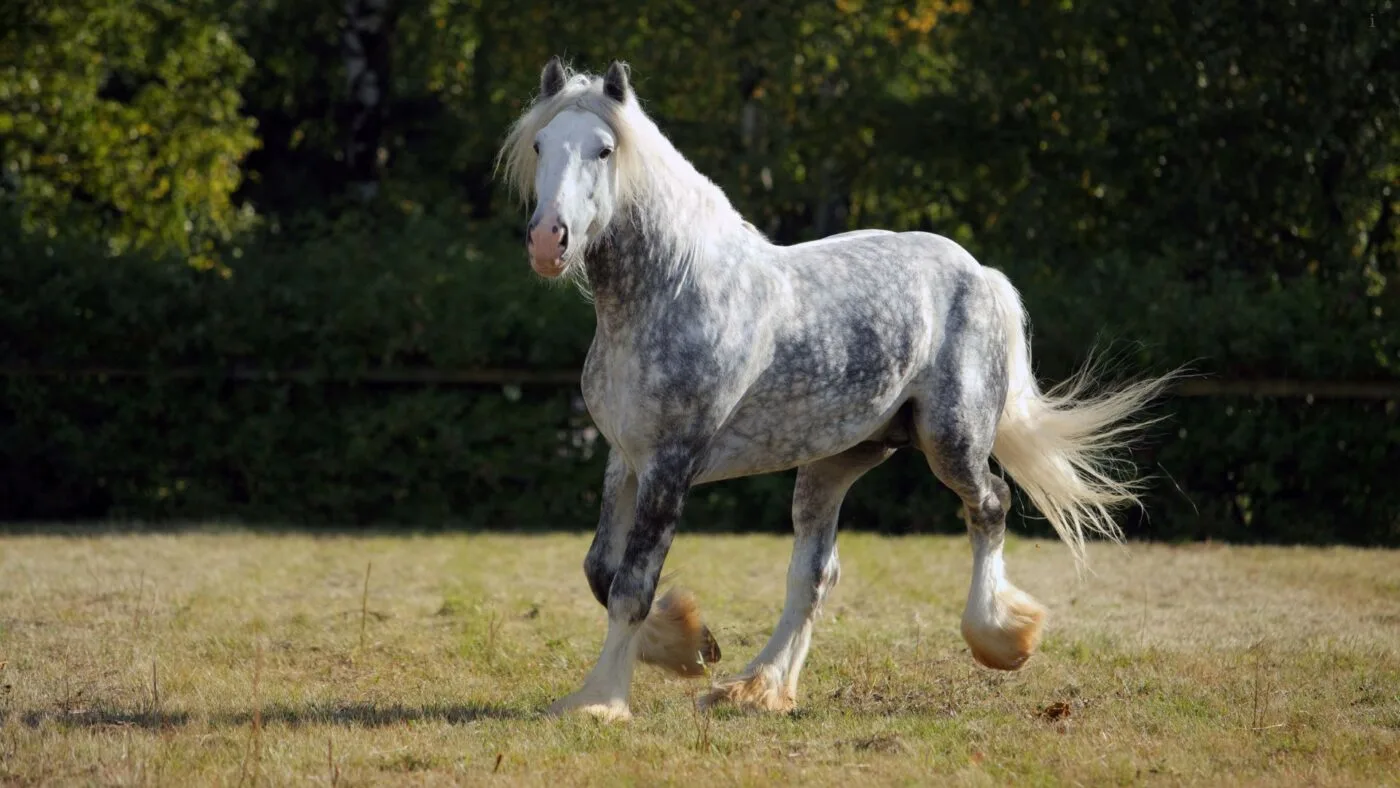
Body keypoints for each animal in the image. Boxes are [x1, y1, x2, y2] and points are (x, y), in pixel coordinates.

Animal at [496, 57, 1175, 722]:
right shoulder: (625, 460)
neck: (674, 291)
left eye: (604, 149)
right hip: (834, 461)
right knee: (815, 573)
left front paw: (601, 701)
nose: (548, 240)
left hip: (950, 441)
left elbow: (632, 586)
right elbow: (600, 571)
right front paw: (690, 646)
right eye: (540, 143)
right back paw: (761, 688)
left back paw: (1001, 638)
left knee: (990, 505)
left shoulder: (671, 464)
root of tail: (980, 272)